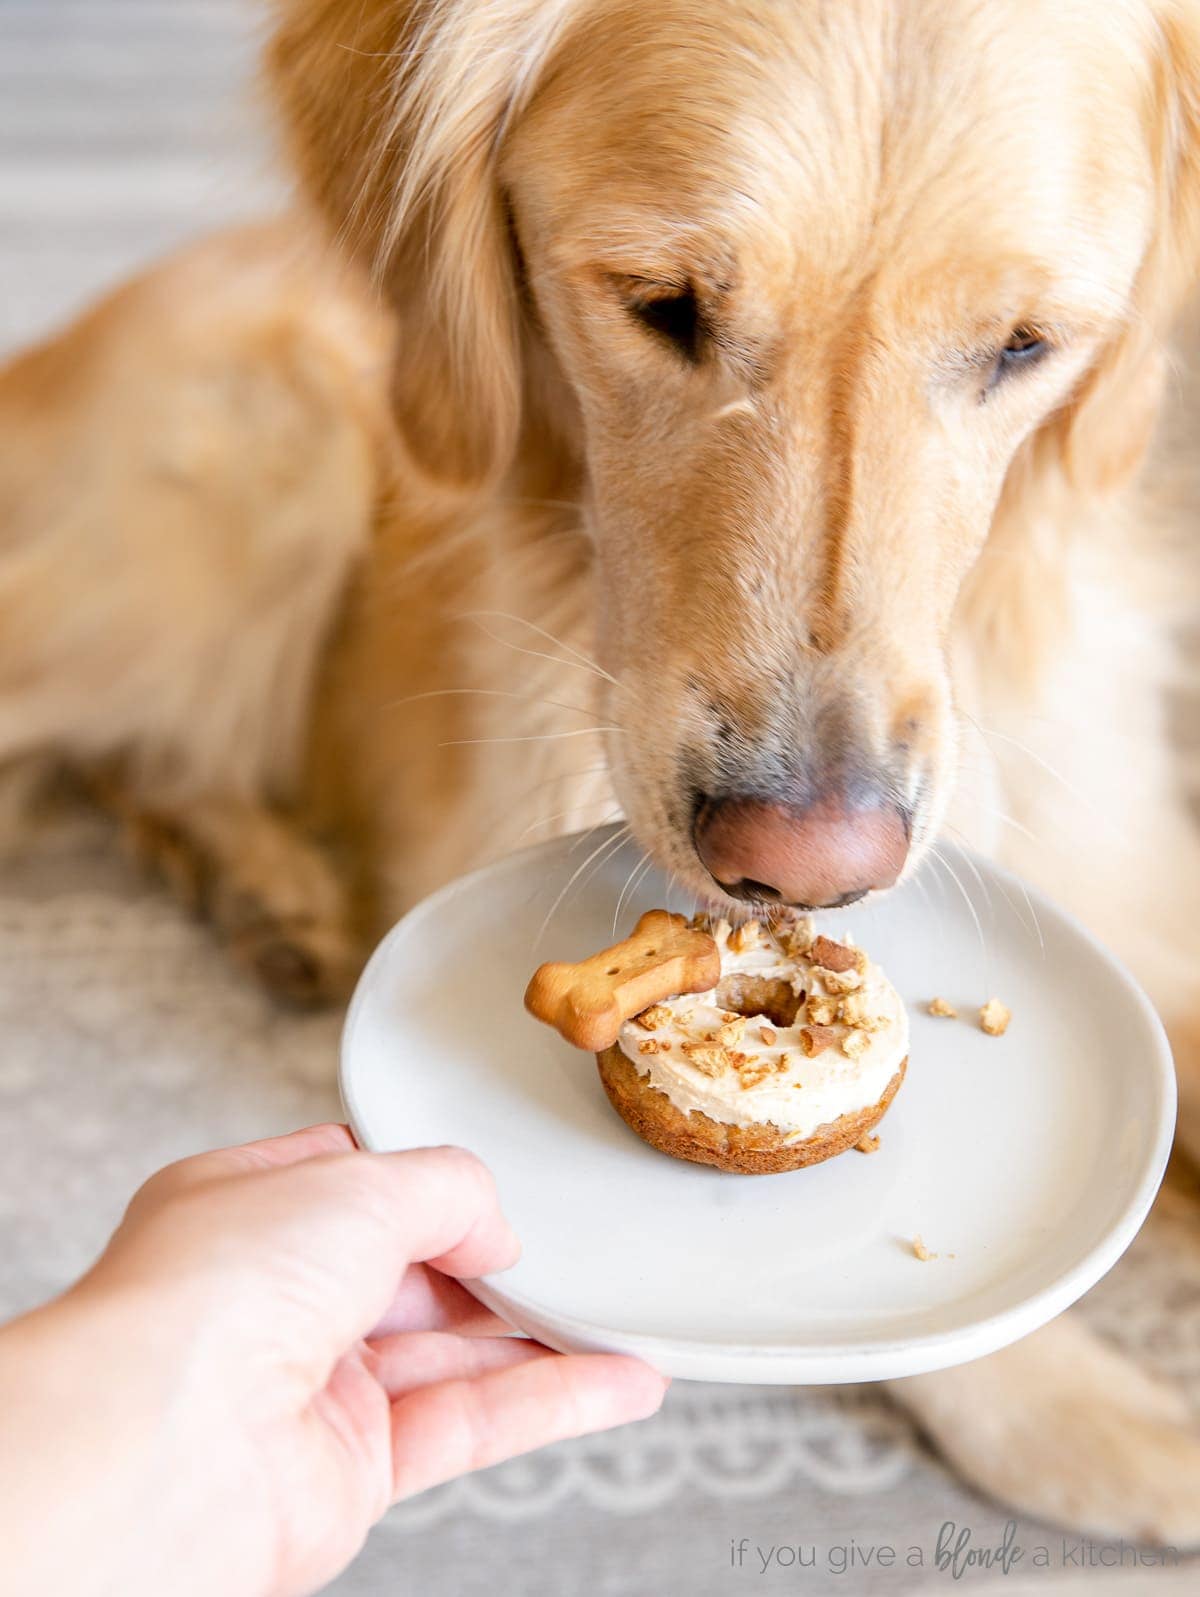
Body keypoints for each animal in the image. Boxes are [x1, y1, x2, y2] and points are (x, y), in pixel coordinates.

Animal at [2, 0, 1200, 1545]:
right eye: (660, 304)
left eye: (1025, 346)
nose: (807, 870)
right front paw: (1091, 1412)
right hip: (250, 478)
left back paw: (274, 890)